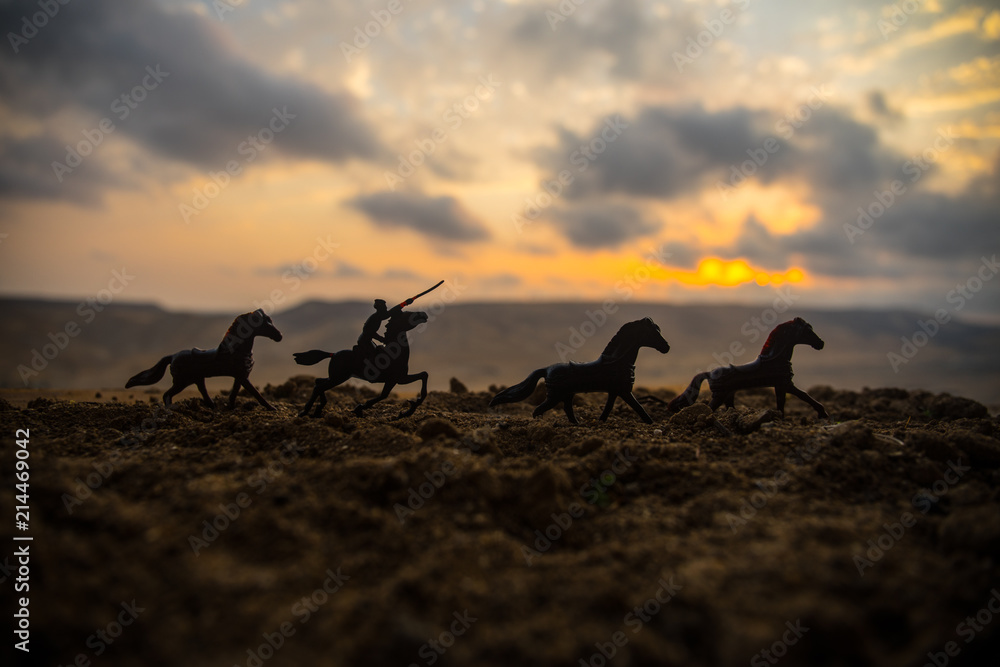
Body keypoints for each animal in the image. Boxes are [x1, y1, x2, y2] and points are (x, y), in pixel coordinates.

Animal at [126, 310, 282, 410]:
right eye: (266, 324)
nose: (279, 336)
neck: (236, 349)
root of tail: (172, 356)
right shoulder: (243, 376)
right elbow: (255, 392)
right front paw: (271, 408)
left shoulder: (240, 376)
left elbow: (235, 391)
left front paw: (230, 407)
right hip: (182, 381)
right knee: (167, 394)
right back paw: (173, 410)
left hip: (196, 379)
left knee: (202, 390)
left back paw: (213, 407)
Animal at [292, 308, 428, 418]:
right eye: (407, 314)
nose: (424, 314)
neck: (394, 352)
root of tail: (333, 354)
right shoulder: (393, 379)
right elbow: (383, 395)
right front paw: (359, 408)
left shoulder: (400, 378)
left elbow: (424, 374)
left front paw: (410, 408)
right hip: (338, 378)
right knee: (318, 387)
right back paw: (305, 412)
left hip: (336, 377)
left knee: (318, 382)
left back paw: (317, 411)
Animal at [488, 318, 668, 422]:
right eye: (653, 334)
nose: (667, 347)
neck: (617, 361)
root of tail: (547, 369)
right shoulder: (624, 391)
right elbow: (638, 407)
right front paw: (651, 422)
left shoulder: (614, 391)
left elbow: (609, 407)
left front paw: (600, 421)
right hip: (555, 395)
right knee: (538, 409)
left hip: (567, 394)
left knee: (567, 409)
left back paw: (576, 424)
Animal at [664, 318, 828, 418]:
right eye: (807, 331)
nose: (821, 344)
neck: (775, 358)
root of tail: (710, 373)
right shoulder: (784, 384)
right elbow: (800, 396)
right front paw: (822, 413)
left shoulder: (781, 385)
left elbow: (790, 399)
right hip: (720, 395)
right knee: (711, 407)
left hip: (729, 393)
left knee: (729, 406)